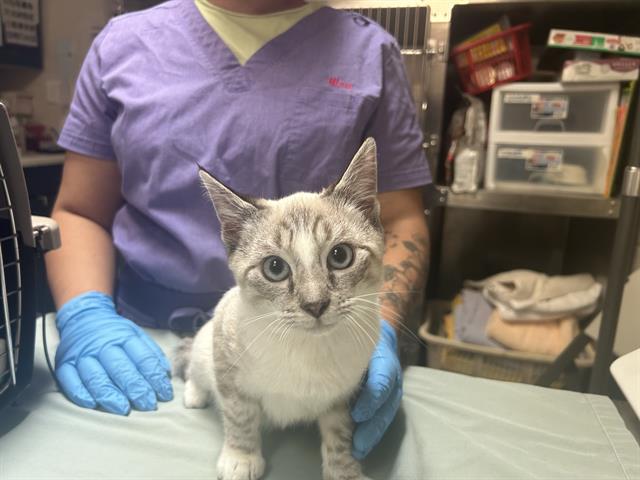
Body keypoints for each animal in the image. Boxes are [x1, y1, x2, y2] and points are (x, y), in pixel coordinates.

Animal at [175, 139, 382, 480]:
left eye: (340, 256)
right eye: (275, 268)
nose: (315, 304)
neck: (308, 348)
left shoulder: (345, 395)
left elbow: (340, 433)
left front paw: (344, 470)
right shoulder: (227, 361)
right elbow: (239, 415)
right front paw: (241, 458)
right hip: (207, 343)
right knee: (195, 366)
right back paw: (194, 394)